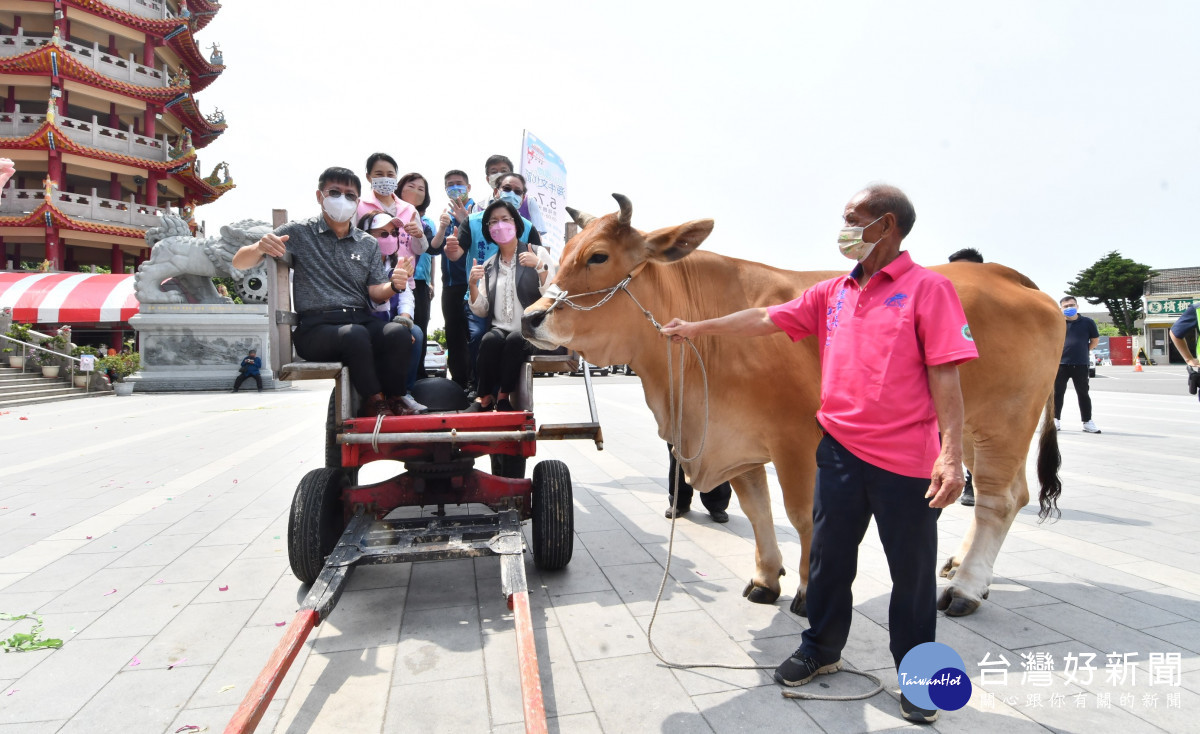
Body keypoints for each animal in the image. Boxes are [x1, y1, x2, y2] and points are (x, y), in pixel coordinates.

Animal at [520, 193, 1065, 614]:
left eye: (597, 257)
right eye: (564, 253)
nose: (530, 318)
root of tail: (1010, 276)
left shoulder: (798, 442)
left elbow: (802, 516)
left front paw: (805, 591)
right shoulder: (734, 435)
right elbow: (757, 509)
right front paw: (766, 579)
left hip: (1006, 423)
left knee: (996, 501)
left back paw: (966, 589)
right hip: (968, 426)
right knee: (1012, 494)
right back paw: (963, 569)